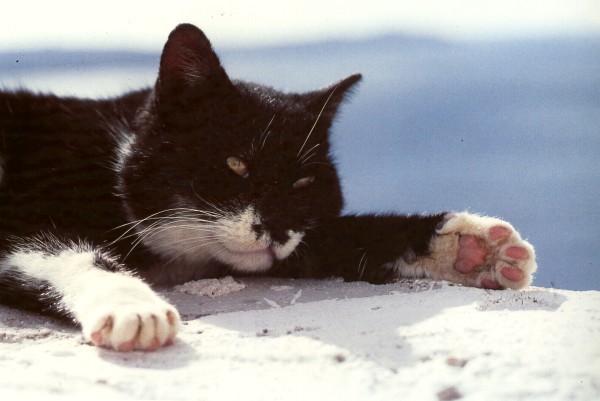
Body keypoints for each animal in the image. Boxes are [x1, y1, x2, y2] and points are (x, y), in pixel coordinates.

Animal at [0, 23, 537, 351]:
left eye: (303, 181)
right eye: (236, 164)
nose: (276, 228)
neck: (112, 158)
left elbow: (335, 238)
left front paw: (469, 249)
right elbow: (70, 253)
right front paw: (132, 306)